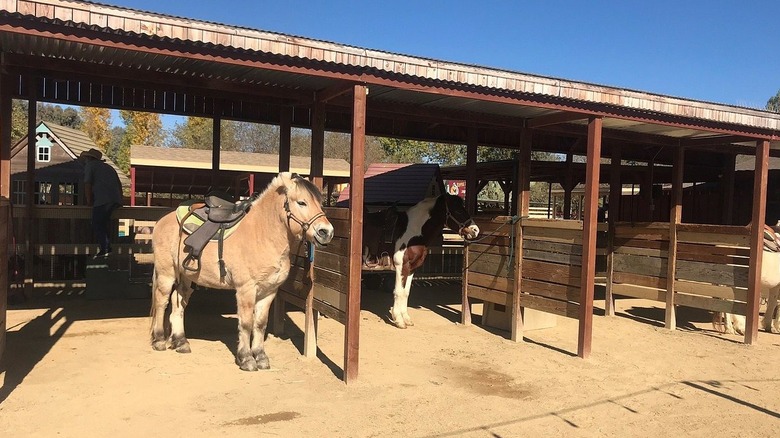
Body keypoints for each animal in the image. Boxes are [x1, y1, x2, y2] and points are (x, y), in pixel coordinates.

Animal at [362, 194, 478, 328]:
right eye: (458, 210)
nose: (475, 230)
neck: (412, 230)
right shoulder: (401, 266)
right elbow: (398, 291)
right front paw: (399, 320)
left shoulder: (412, 268)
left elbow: (405, 292)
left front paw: (406, 319)